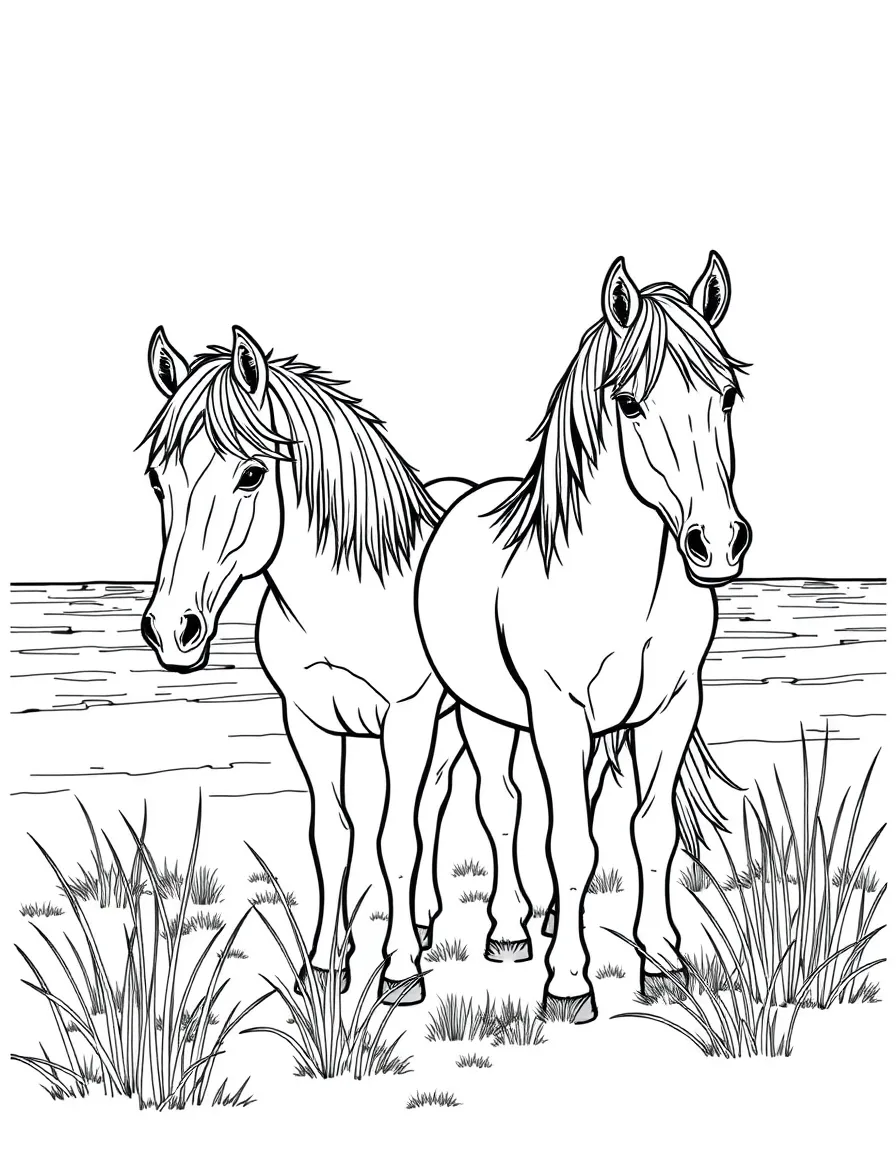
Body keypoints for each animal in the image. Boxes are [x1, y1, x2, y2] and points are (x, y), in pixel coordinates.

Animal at [138, 325, 511, 1004]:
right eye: (158, 480)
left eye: (252, 473)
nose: (172, 630)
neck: (346, 598)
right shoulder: (308, 721)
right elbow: (332, 835)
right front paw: (325, 962)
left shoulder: (404, 720)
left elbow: (393, 837)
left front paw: (400, 971)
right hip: (442, 729)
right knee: (436, 802)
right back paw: (425, 920)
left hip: (476, 719)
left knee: (496, 805)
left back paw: (508, 931)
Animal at [416, 253, 751, 1022]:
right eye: (629, 403)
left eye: (727, 397)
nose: (718, 544)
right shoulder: (557, 714)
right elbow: (569, 842)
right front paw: (569, 982)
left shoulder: (669, 709)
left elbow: (650, 833)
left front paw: (662, 960)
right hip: (482, 714)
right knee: (501, 808)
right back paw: (510, 930)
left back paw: (540, 921)